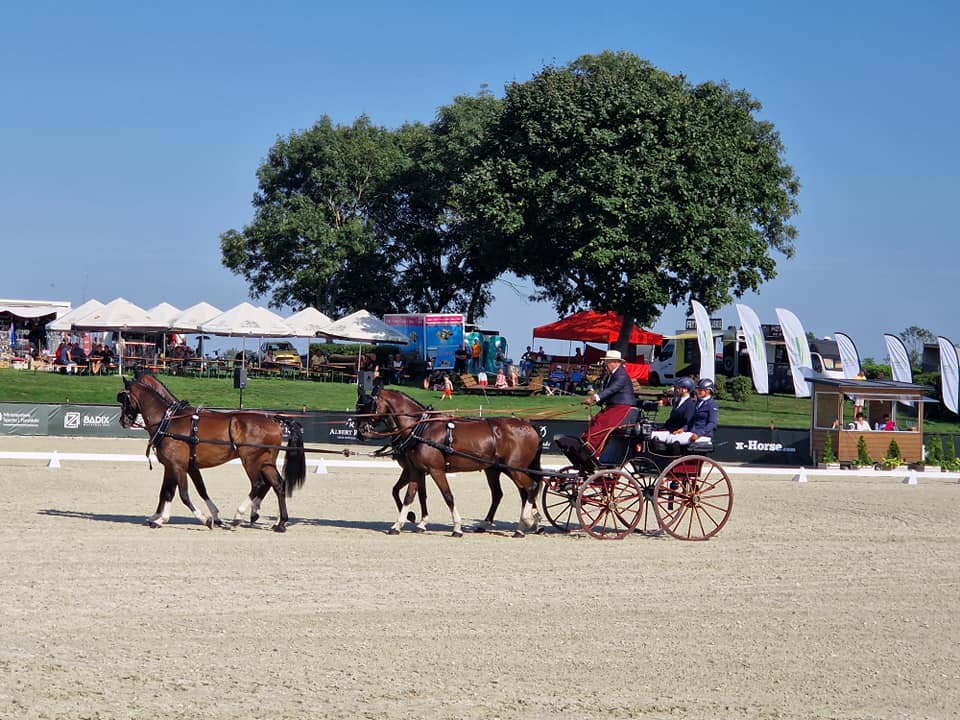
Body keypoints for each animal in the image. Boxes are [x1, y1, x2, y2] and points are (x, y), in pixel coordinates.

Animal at [115, 368, 308, 532]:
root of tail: (274, 419)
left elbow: (183, 495)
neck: (169, 420)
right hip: (266, 462)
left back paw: (239, 516)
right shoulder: (176, 466)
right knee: (278, 485)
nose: (123, 421)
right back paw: (280, 523)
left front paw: (205, 519)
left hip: (250, 461)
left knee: (259, 484)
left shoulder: (178, 466)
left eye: (123, 399)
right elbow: (171, 492)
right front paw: (158, 518)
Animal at [356, 388, 544, 536]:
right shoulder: (416, 470)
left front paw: (457, 528)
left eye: (367, 405)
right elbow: (410, 496)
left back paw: (524, 524)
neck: (420, 428)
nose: (360, 432)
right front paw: (399, 524)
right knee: (508, 494)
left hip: (515, 469)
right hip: (498, 469)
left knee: (531, 488)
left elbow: (448, 496)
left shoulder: (435, 470)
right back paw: (519, 524)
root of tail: (528, 424)